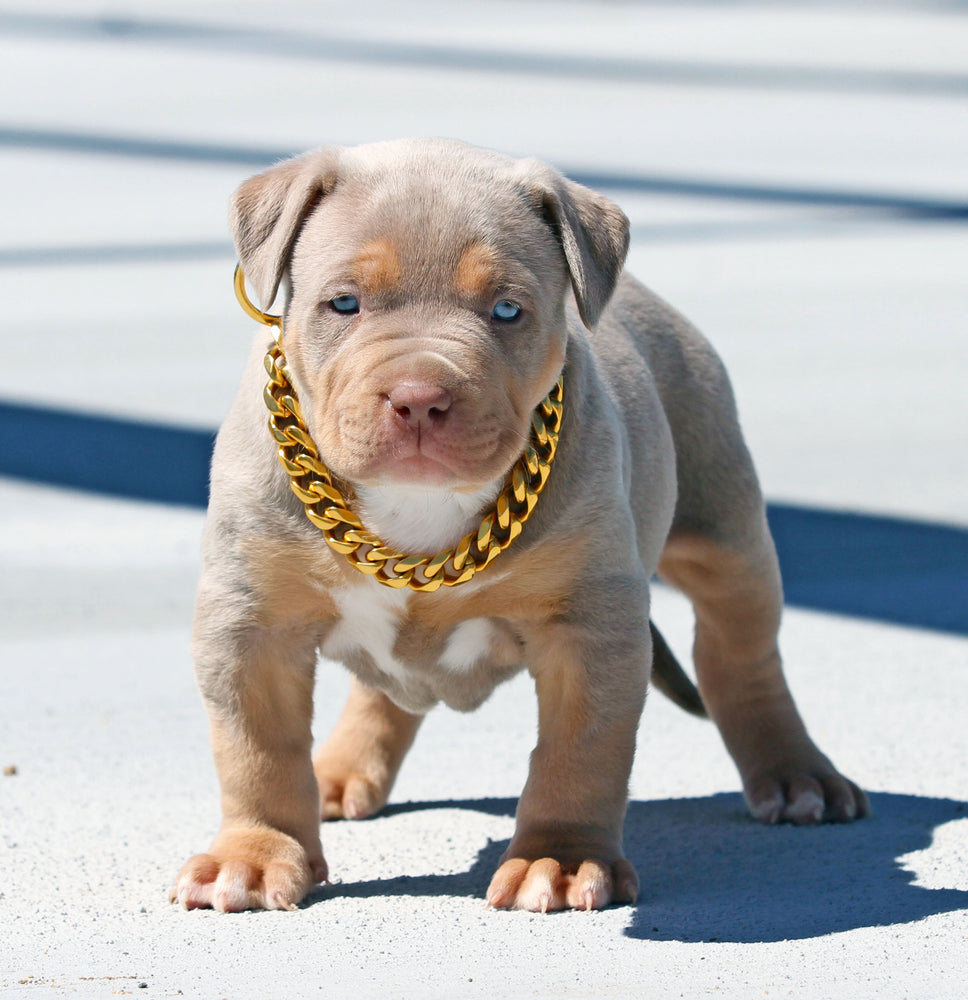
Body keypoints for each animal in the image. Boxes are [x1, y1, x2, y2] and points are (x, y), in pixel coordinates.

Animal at [168, 141, 868, 916]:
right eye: (342, 303)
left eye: (508, 310)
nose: (419, 397)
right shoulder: (250, 624)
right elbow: (257, 749)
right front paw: (254, 855)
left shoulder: (590, 628)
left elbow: (579, 750)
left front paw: (556, 860)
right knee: (385, 690)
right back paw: (341, 771)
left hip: (726, 528)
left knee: (742, 656)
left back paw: (796, 776)